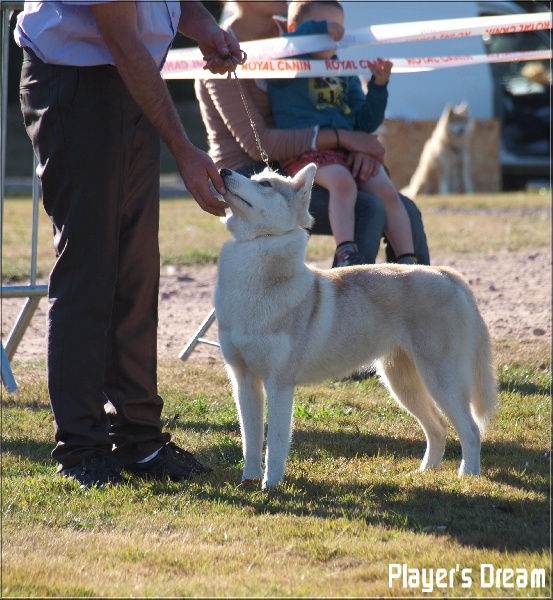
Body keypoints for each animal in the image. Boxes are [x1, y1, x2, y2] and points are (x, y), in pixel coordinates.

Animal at [213, 163, 494, 488]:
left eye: (266, 184)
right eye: (253, 176)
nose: (223, 170)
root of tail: (445, 273)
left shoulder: (279, 384)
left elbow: (277, 443)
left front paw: (271, 486)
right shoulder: (244, 381)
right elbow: (251, 441)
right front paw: (248, 482)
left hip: (440, 380)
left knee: (471, 430)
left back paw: (468, 477)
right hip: (402, 383)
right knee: (438, 427)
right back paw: (424, 472)